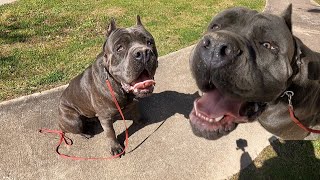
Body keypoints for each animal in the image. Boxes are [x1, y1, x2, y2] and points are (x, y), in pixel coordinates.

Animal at [58, 16, 158, 155]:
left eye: (149, 42)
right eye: (119, 48)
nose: (143, 53)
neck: (118, 86)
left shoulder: (134, 102)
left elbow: (136, 111)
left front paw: (139, 120)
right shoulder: (105, 118)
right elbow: (110, 133)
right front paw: (115, 147)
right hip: (74, 120)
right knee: (75, 129)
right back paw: (86, 133)